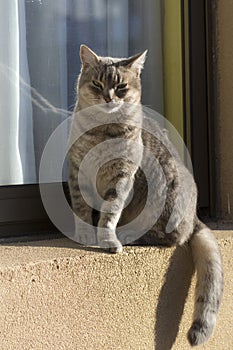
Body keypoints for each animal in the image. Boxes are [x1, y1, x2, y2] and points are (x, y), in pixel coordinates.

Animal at [66, 44, 223, 348]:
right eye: (97, 84)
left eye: (121, 87)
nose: (108, 97)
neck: (102, 131)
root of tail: (196, 217)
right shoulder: (77, 173)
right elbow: (81, 210)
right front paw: (84, 234)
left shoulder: (122, 177)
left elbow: (109, 213)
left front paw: (107, 239)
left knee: (170, 238)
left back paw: (130, 235)